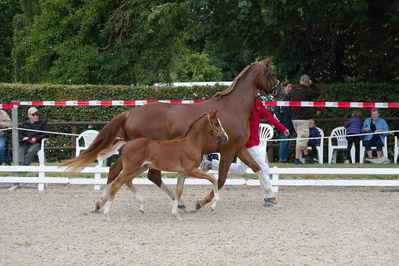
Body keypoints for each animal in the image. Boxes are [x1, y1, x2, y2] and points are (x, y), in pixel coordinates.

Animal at [95, 110, 230, 218]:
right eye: (216, 123)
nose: (225, 138)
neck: (190, 143)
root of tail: (127, 143)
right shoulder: (191, 170)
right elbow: (213, 178)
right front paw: (213, 206)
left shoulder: (182, 173)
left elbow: (179, 191)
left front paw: (176, 213)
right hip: (131, 168)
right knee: (116, 184)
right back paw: (107, 212)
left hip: (140, 168)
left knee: (127, 181)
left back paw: (141, 207)